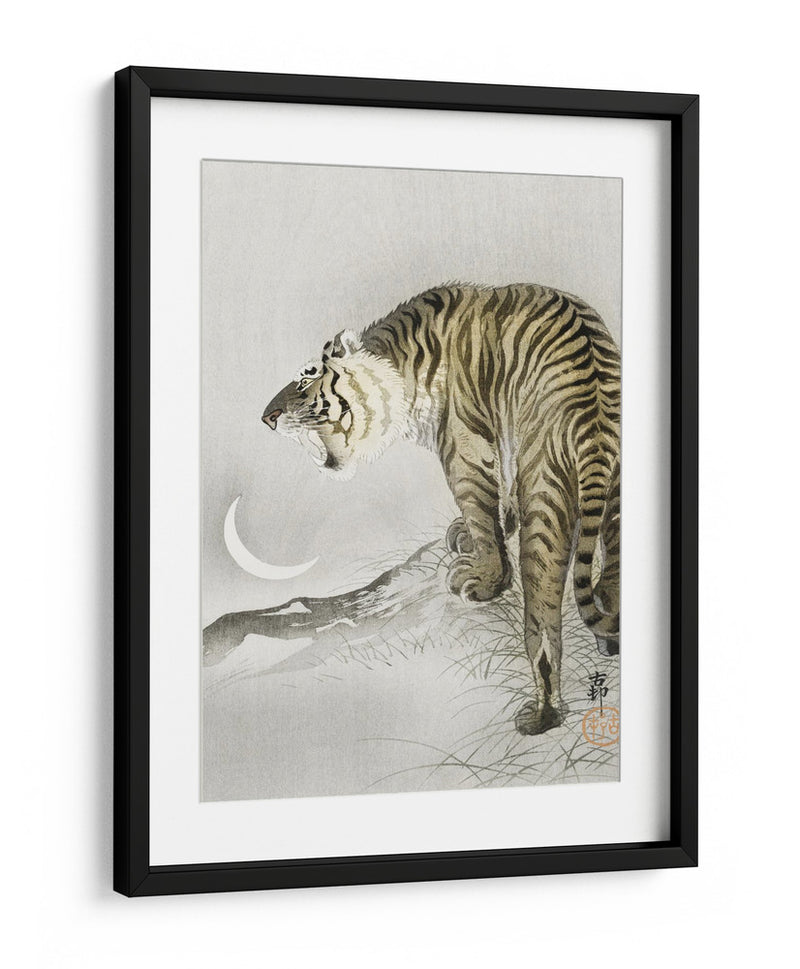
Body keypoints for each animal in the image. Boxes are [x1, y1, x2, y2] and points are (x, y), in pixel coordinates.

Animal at [262, 284, 620, 736]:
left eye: (307, 376)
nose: (267, 417)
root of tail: (595, 413)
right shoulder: (502, 438)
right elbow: (498, 501)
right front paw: (478, 531)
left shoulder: (464, 445)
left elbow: (480, 508)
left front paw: (485, 578)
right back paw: (610, 638)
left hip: (545, 487)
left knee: (542, 620)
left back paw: (542, 714)